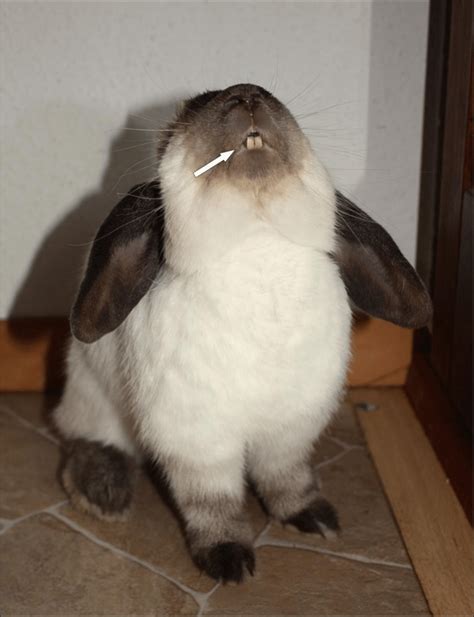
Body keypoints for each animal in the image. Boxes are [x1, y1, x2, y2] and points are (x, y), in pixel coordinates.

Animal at [52, 83, 434, 584]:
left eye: (273, 95)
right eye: (193, 109)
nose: (247, 94)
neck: (257, 241)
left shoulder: (292, 427)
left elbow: (287, 476)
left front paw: (313, 518)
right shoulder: (200, 441)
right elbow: (214, 502)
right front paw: (228, 558)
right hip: (95, 396)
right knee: (86, 436)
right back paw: (104, 494)